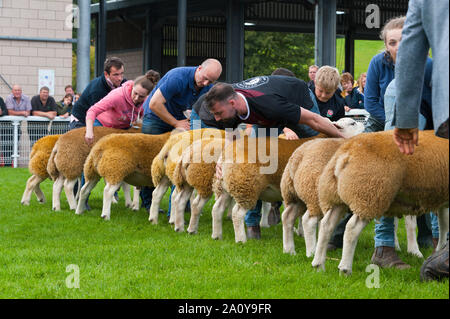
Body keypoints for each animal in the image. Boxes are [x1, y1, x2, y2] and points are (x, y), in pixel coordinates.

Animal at [211, 117, 366, 242]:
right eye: (352, 123)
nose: (365, 125)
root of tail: (226, 153)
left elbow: (301, 216)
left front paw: (301, 233)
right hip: (245, 184)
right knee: (237, 214)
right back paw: (241, 239)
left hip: (227, 185)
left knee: (217, 209)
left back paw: (217, 235)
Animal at [312, 130, 448, 276]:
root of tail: (346, 152)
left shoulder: (443, 201)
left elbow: (443, 226)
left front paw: (439, 250)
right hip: (369, 194)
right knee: (352, 229)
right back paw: (345, 269)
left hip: (336, 196)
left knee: (326, 225)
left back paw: (318, 266)